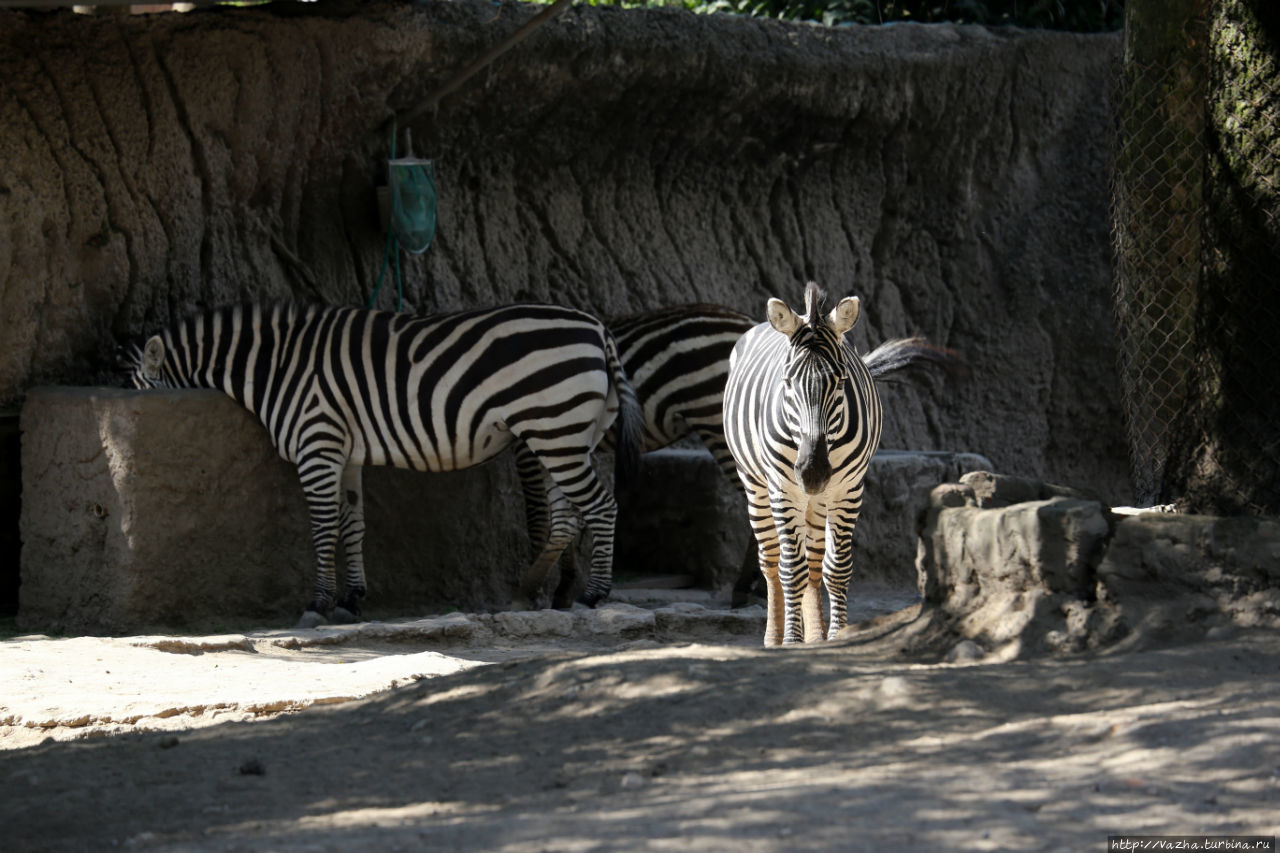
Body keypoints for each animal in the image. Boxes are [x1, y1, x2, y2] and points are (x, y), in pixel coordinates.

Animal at [127, 298, 640, 625]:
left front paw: (318, 603)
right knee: (568, 517)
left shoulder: (317, 443)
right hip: (565, 434)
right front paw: (351, 600)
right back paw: (533, 592)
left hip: (553, 428)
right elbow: (352, 525)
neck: (277, 369)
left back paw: (593, 596)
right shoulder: (344, 451)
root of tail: (598, 329)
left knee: (603, 507)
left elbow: (324, 528)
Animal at [727, 281, 885, 640]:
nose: (813, 473)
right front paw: (791, 640)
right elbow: (791, 570)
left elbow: (836, 568)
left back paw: (815, 635)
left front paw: (836, 636)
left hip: (818, 501)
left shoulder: (848, 490)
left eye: (841, 382)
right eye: (787, 382)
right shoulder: (783, 490)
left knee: (814, 563)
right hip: (757, 487)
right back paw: (774, 636)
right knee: (772, 561)